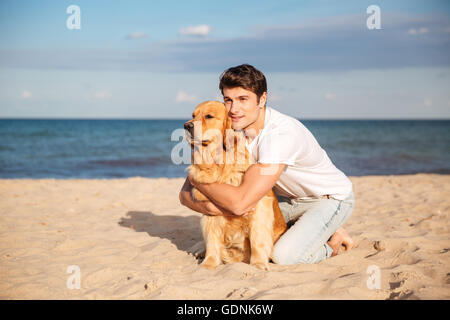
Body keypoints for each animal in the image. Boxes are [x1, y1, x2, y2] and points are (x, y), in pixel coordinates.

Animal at [184, 100, 286, 270]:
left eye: (209, 116)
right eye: (193, 115)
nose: (186, 126)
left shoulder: (259, 207)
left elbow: (258, 239)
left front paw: (258, 264)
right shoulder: (210, 210)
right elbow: (212, 240)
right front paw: (209, 264)